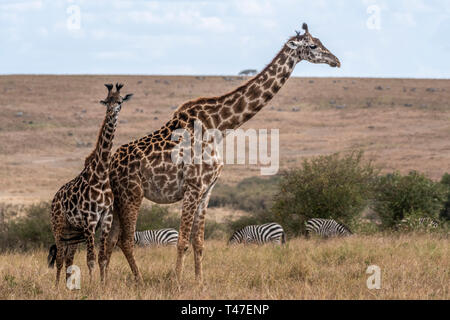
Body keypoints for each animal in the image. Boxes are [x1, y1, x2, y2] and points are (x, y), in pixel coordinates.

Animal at [50, 84, 134, 284]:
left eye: (120, 101)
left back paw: (67, 286)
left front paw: (103, 285)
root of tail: (54, 199)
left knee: (68, 257)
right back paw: (56, 287)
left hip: (72, 232)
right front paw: (91, 285)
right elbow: (90, 259)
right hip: (58, 226)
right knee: (59, 258)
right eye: (107, 101)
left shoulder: (106, 218)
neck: (101, 175)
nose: (112, 112)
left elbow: (102, 257)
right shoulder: (90, 219)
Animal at [103, 23, 342, 284]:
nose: (336, 60)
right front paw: (176, 282)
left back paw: (103, 282)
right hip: (132, 194)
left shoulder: (207, 190)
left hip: (119, 199)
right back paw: (139, 280)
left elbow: (198, 242)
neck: (219, 126)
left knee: (110, 240)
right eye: (313, 45)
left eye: (320, 41)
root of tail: (110, 165)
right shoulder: (193, 187)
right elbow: (182, 241)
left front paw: (199, 283)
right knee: (125, 240)